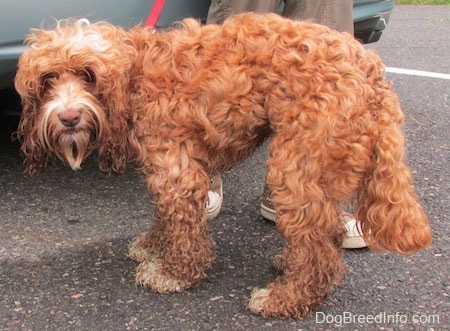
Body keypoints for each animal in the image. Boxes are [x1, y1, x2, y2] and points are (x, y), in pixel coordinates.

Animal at [14, 13, 432, 322]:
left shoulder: (177, 172)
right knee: (322, 233)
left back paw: (286, 299)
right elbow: (164, 215)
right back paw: (289, 265)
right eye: (48, 79)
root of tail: (370, 68)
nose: (68, 118)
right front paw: (153, 246)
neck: (134, 76)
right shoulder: (167, 166)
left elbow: (183, 228)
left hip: (298, 167)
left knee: (320, 250)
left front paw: (175, 273)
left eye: (88, 74)